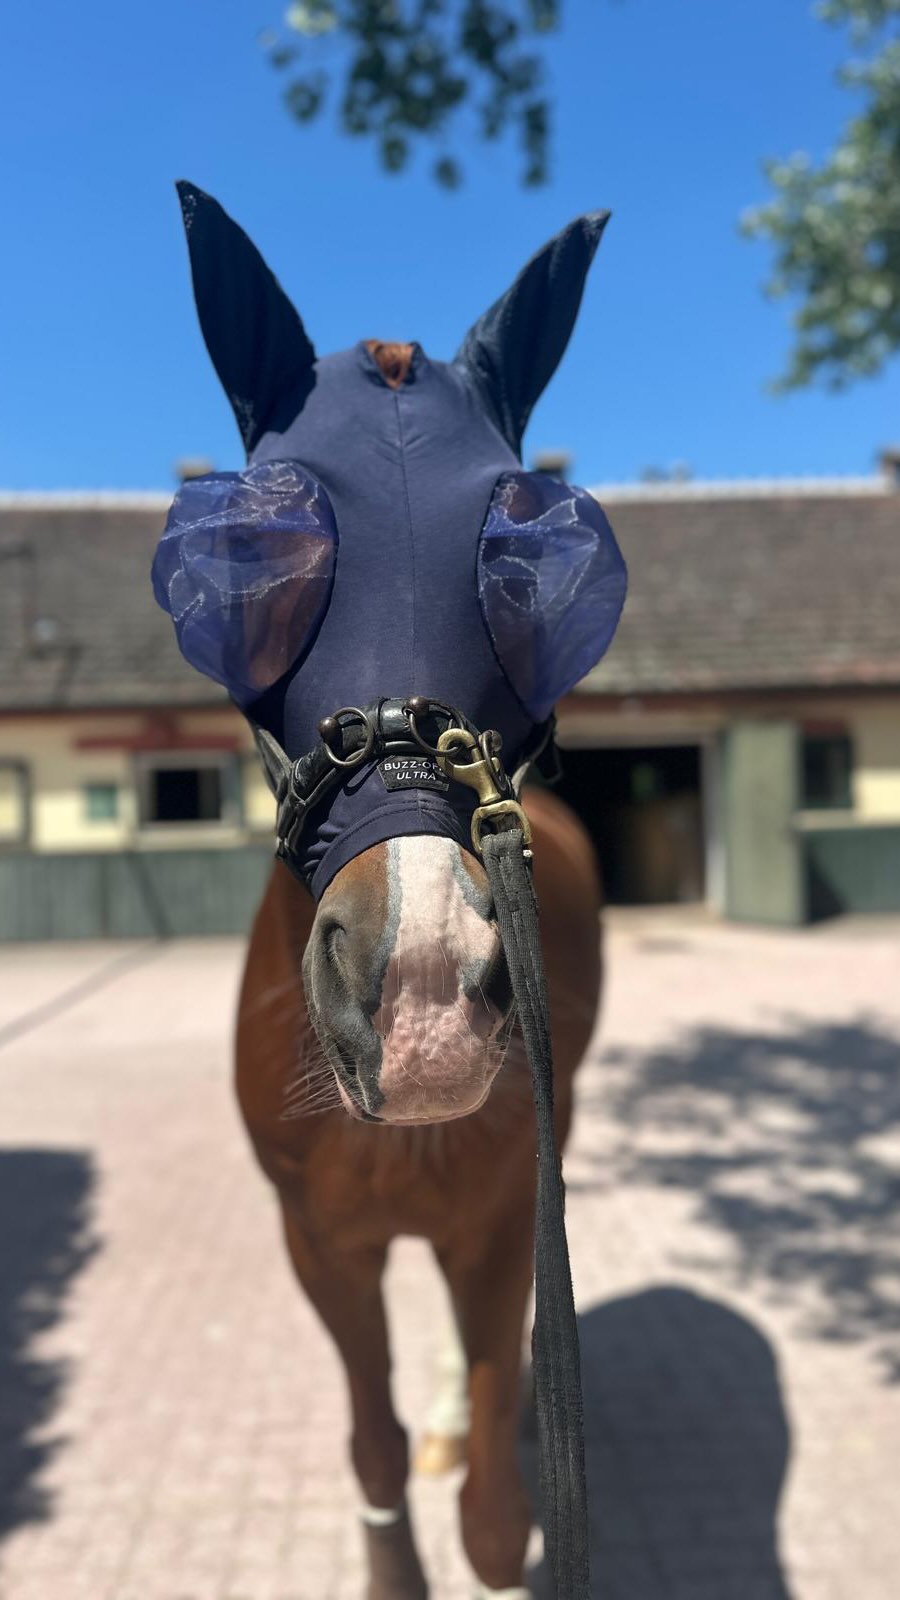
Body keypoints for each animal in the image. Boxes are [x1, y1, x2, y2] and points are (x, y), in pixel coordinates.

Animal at [154, 185, 626, 1599]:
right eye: (249, 559)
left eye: (525, 566)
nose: (418, 989)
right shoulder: (321, 1243)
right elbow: (372, 1447)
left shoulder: (503, 1221)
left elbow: (496, 1517)